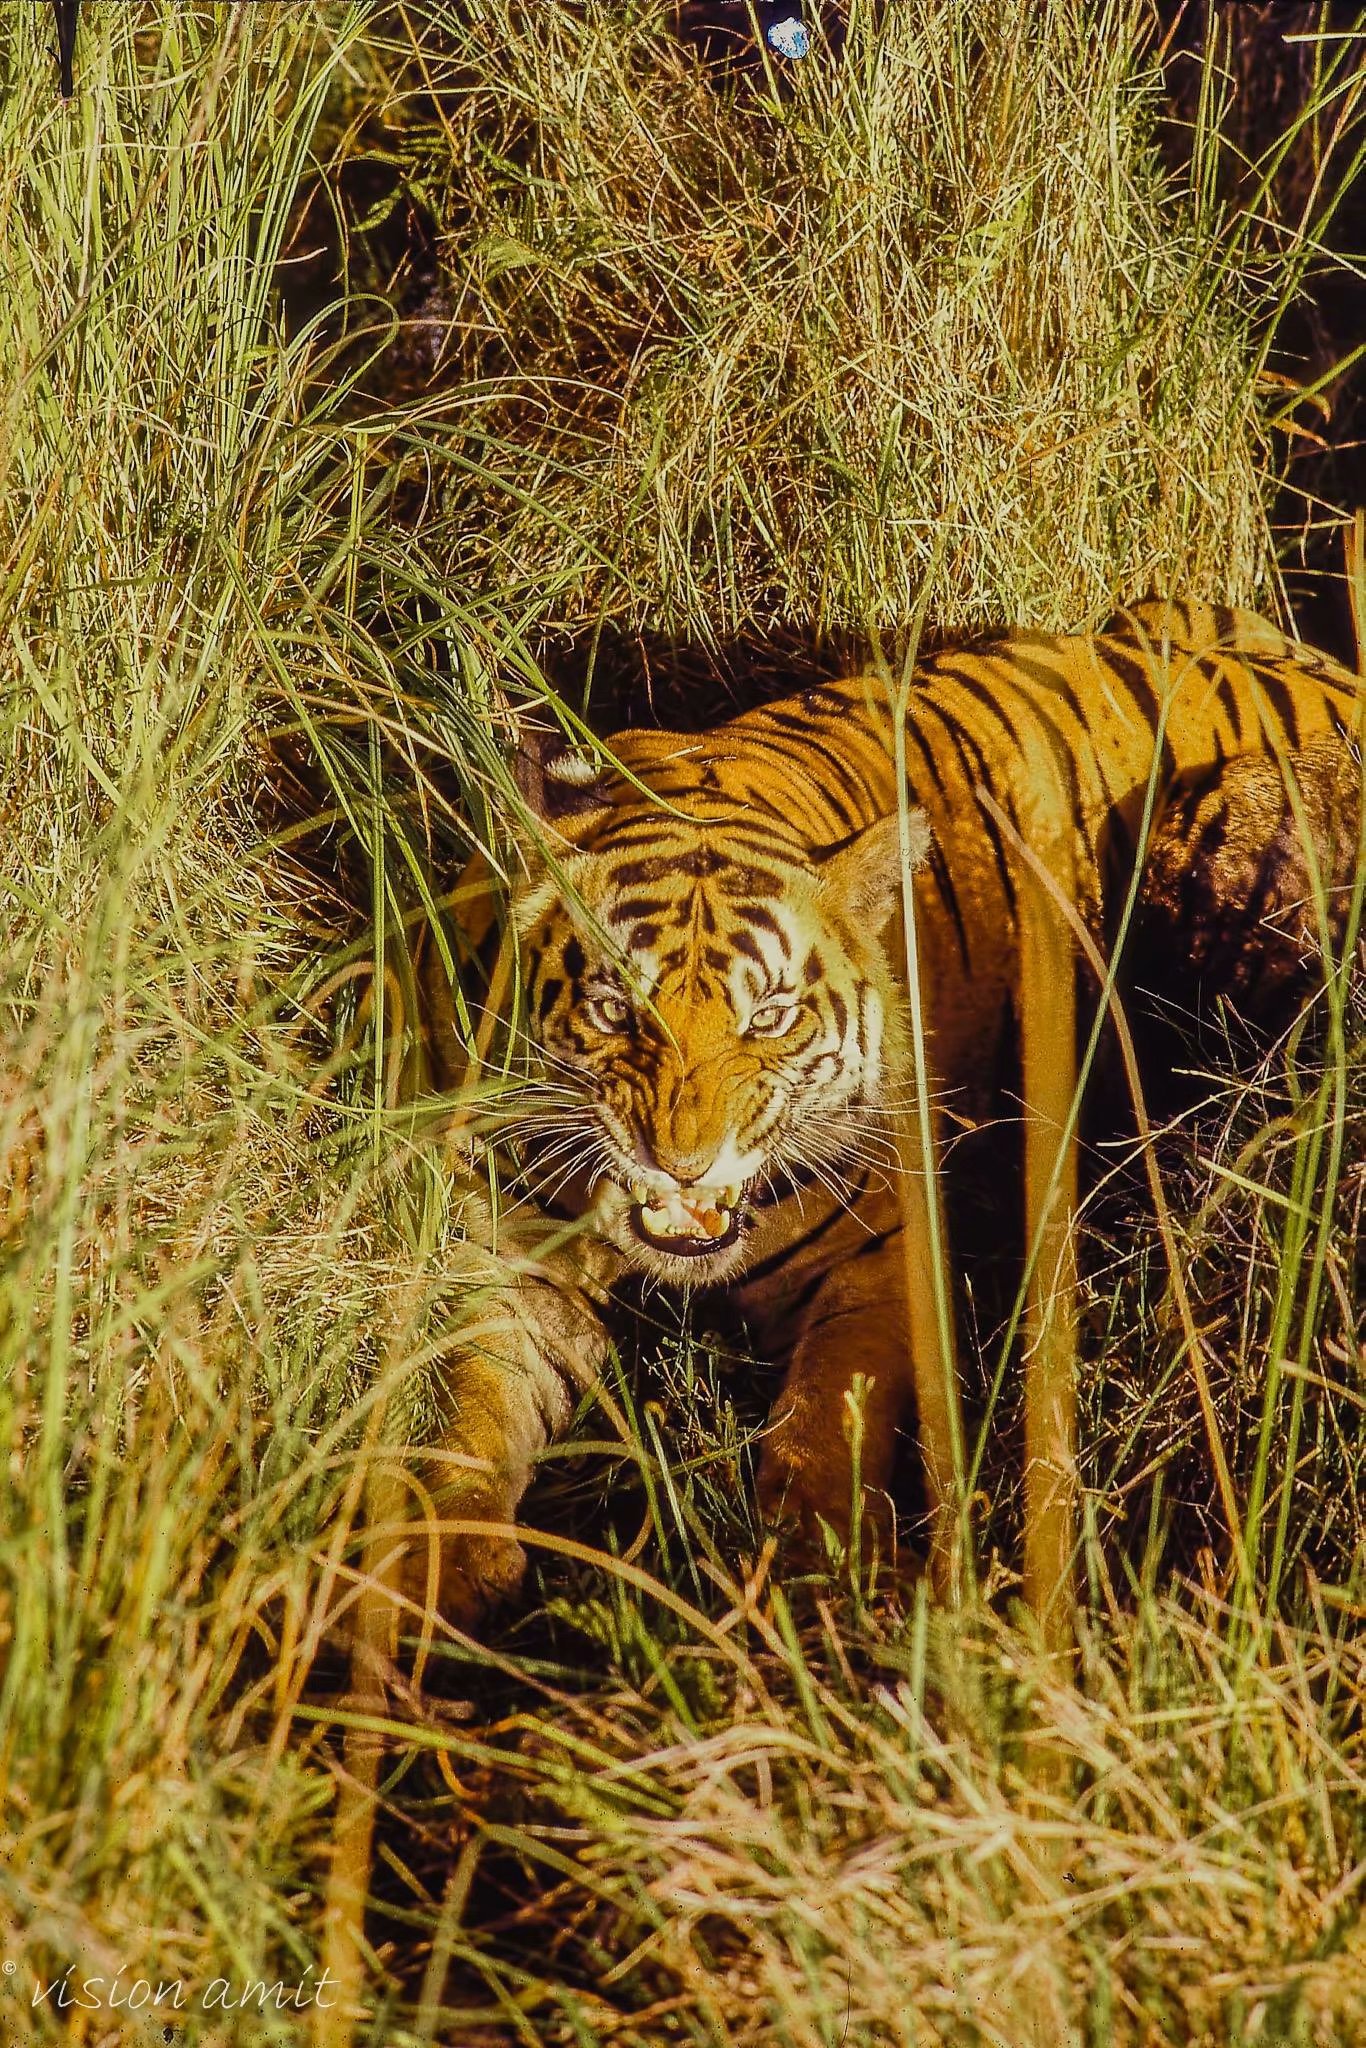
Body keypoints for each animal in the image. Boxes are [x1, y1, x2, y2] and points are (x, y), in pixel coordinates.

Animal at [403, 598, 1359, 1646]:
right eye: (616, 1011)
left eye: (769, 1018)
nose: (685, 1163)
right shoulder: (515, 1248)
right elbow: (470, 1401)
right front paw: (439, 1562)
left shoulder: (881, 1255)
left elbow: (828, 1422)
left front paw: (828, 1577)